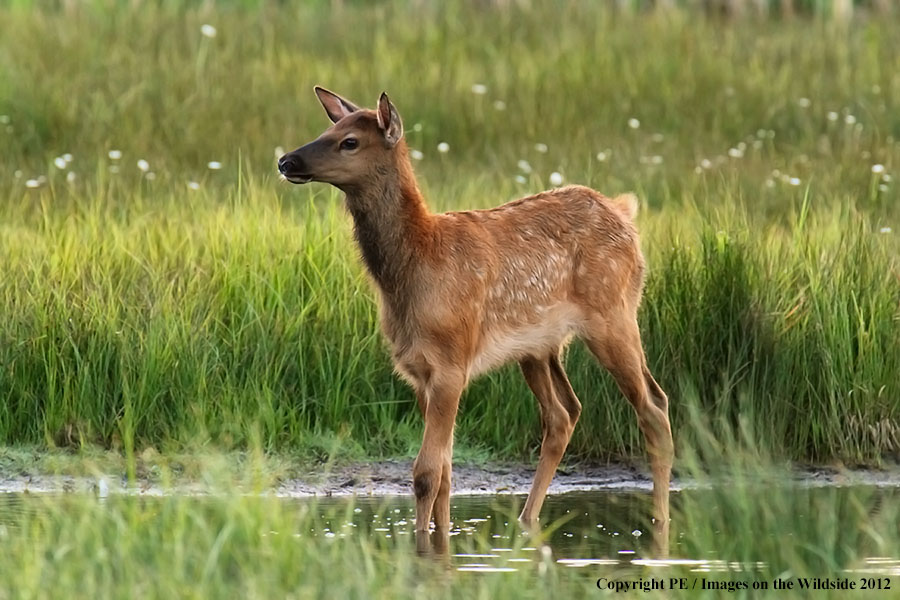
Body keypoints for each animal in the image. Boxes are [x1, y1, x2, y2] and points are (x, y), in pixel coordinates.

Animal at [278, 88, 672, 540]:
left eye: (349, 142)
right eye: (328, 129)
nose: (287, 161)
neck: (415, 268)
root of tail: (625, 214)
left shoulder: (452, 362)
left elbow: (425, 473)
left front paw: (422, 544)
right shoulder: (419, 371)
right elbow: (446, 473)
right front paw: (440, 537)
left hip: (613, 314)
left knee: (653, 407)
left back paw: (659, 523)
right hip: (539, 347)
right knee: (564, 414)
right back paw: (527, 519)